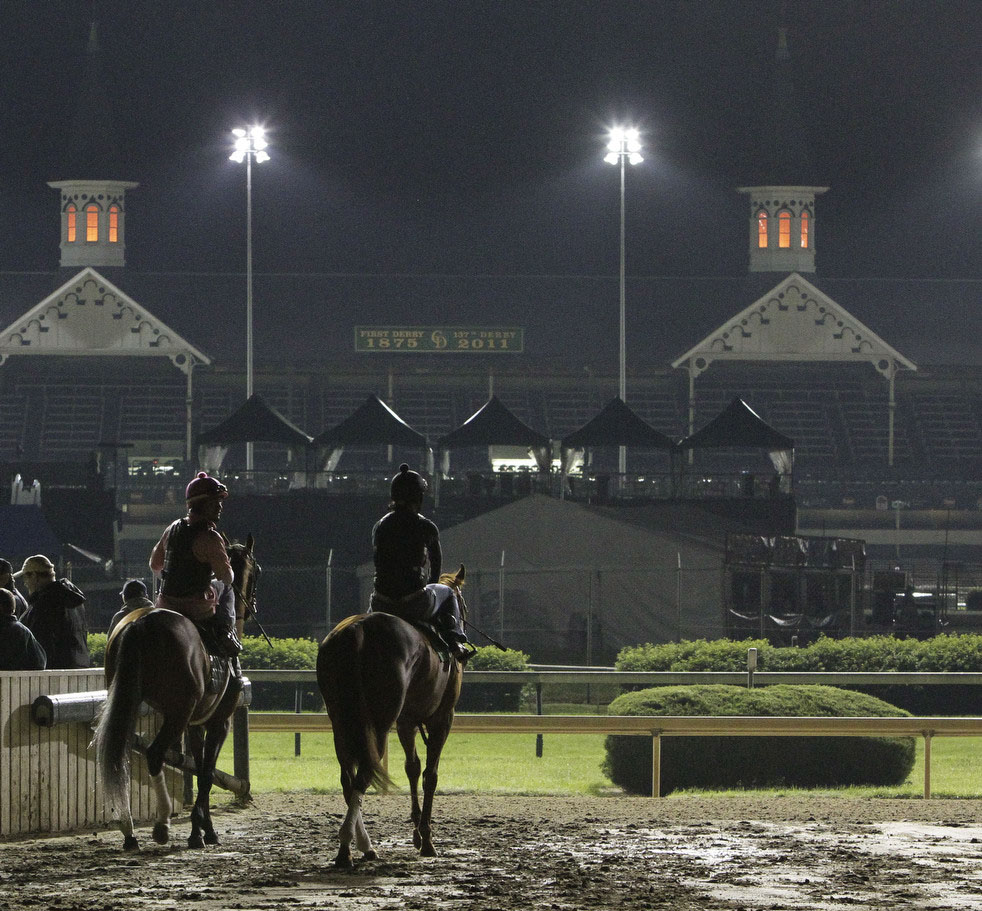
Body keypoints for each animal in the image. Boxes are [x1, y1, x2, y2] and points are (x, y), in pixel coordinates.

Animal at [92, 536, 260, 852]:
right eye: (255, 571)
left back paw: (129, 832)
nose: (251, 605)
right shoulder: (219, 723)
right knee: (155, 753)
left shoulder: (195, 724)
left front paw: (203, 827)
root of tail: (140, 624)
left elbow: (199, 766)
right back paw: (161, 824)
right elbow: (206, 774)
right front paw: (201, 832)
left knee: (122, 755)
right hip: (177, 713)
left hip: (128, 701)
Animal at [316, 564, 468, 868]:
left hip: (341, 721)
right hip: (379, 722)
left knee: (348, 779)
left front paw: (417, 834)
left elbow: (412, 768)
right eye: (462, 604)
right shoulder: (442, 718)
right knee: (363, 775)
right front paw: (427, 839)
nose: (463, 636)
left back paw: (354, 847)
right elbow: (430, 775)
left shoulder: (407, 721)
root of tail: (358, 631)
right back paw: (352, 845)